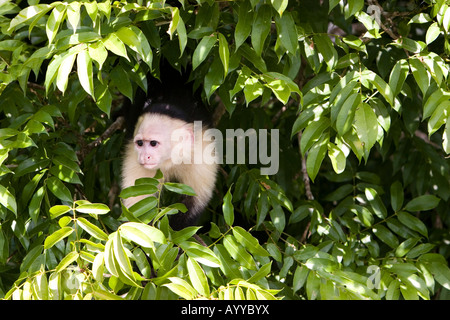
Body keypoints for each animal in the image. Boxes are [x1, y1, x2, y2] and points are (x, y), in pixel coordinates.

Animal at [119, 65, 218, 230]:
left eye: (153, 143)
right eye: (140, 143)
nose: (145, 156)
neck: (171, 159)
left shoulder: (201, 152)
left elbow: (194, 201)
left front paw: (175, 232)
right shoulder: (134, 158)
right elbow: (137, 208)